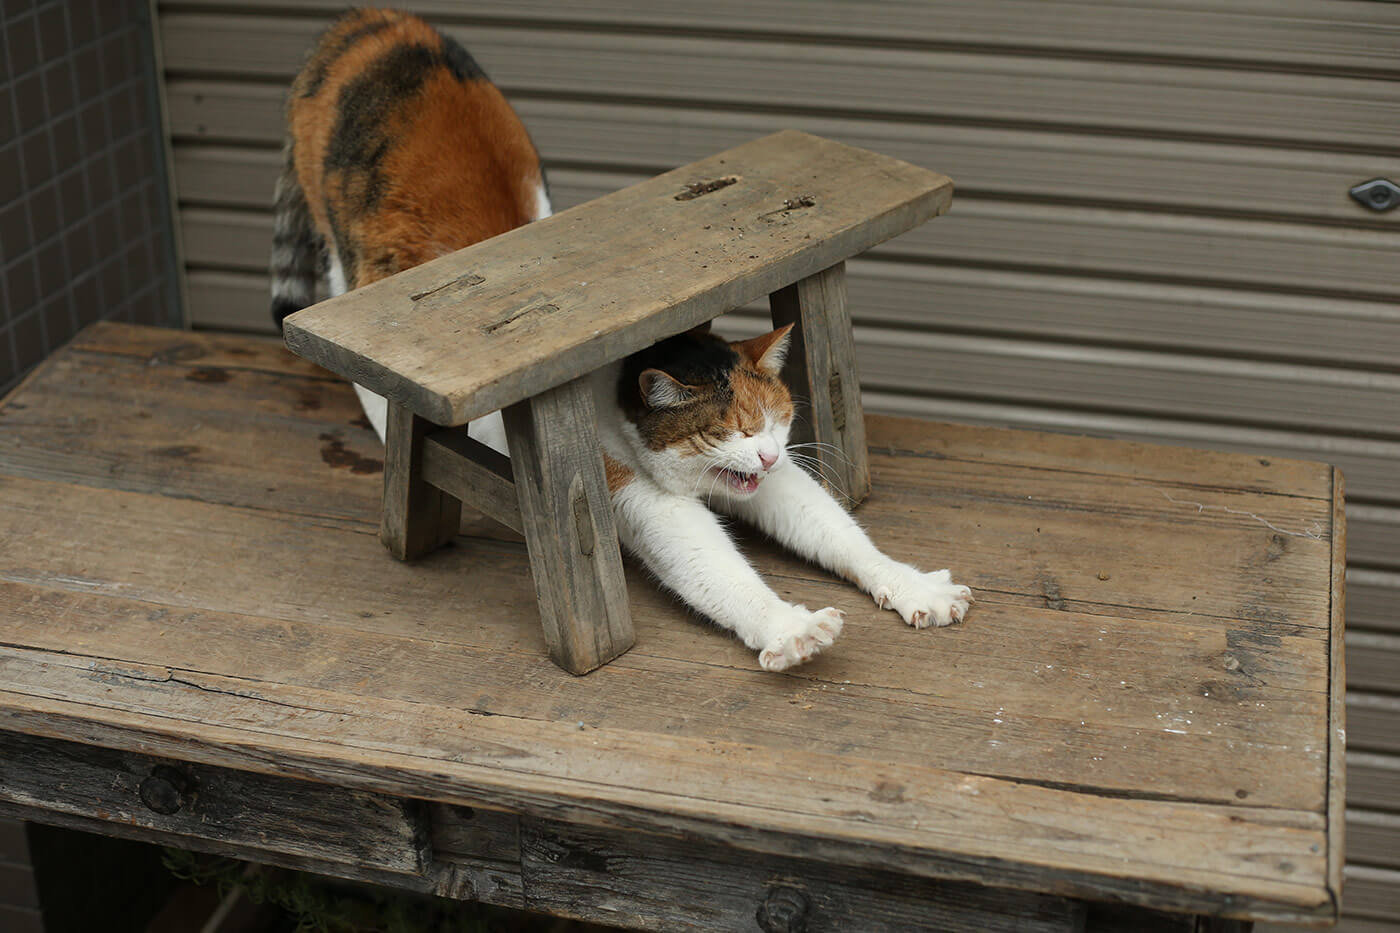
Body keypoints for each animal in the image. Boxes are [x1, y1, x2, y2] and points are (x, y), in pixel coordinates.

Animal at [272, 9, 972, 672]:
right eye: (730, 429)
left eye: (776, 421)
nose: (771, 453)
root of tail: (373, 18)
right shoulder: (628, 489)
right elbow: (713, 565)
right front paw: (787, 628)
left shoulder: (767, 478)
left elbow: (834, 527)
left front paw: (913, 586)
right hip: (346, 259)